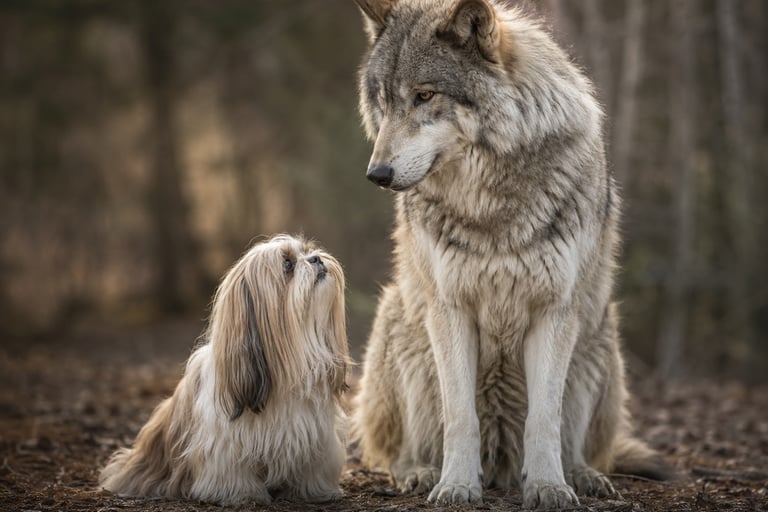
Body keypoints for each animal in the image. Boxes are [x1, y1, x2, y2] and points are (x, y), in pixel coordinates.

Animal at [351, 0, 669, 509]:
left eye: (424, 96)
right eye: (383, 101)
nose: (377, 174)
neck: (491, 206)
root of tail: (500, 463)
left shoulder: (554, 310)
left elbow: (545, 419)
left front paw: (549, 487)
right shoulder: (450, 308)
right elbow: (460, 417)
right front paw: (456, 486)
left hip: (598, 340)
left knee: (578, 444)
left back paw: (582, 475)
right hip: (402, 324)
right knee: (393, 451)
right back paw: (420, 472)